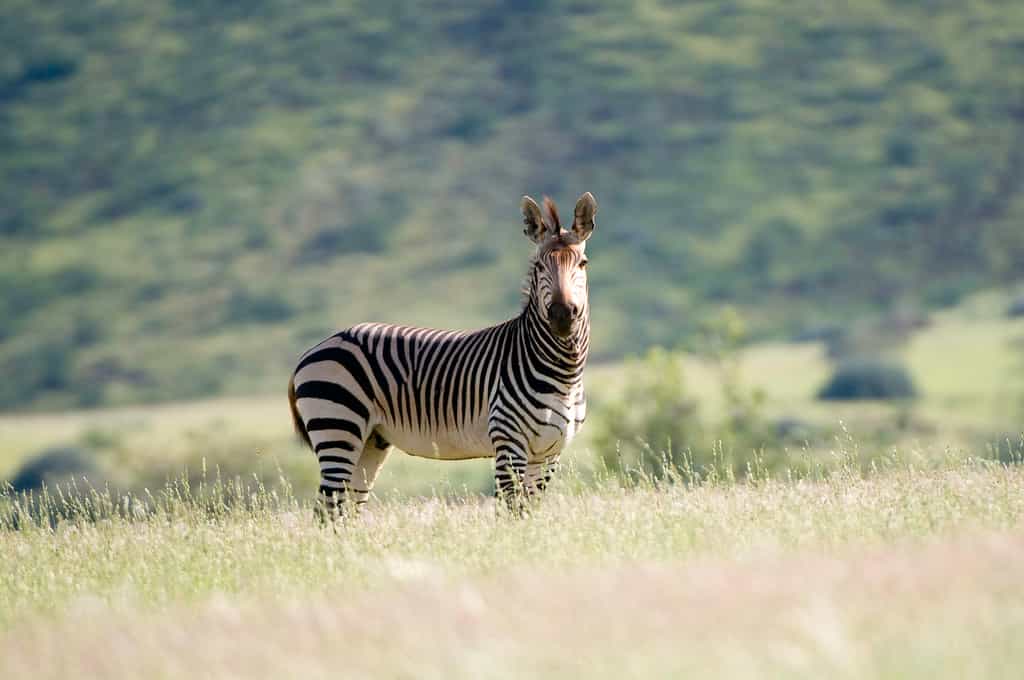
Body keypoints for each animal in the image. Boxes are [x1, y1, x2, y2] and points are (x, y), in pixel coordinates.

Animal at [288, 192, 597, 518]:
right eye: (538, 265)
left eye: (583, 263)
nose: (562, 316)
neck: (562, 374)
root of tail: (317, 347)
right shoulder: (508, 444)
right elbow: (509, 513)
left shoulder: (549, 453)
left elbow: (528, 512)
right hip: (338, 428)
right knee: (326, 509)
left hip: (369, 441)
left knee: (345, 510)